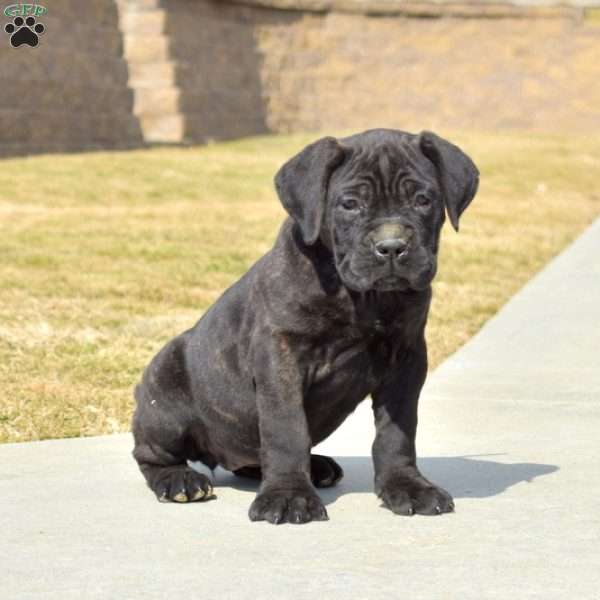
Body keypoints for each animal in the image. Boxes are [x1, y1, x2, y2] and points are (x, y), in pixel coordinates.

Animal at [131, 127, 478, 524]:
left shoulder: (406, 359)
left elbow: (398, 431)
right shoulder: (281, 357)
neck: (362, 298)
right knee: (150, 454)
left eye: (423, 200)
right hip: (165, 391)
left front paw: (407, 486)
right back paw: (179, 480)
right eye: (349, 204)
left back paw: (316, 466)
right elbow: (286, 429)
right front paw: (288, 495)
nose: (391, 246)